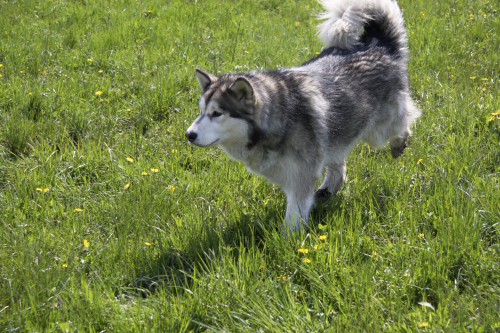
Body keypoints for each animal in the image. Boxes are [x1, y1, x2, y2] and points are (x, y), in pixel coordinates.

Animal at [186, 0, 420, 230]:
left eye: (217, 113)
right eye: (201, 111)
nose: (189, 134)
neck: (279, 119)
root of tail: (378, 43)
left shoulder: (302, 176)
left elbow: (294, 214)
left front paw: (288, 238)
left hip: (379, 130)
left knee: (404, 122)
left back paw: (399, 144)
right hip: (333, 137)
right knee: (339, 168)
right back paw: (327, 190)